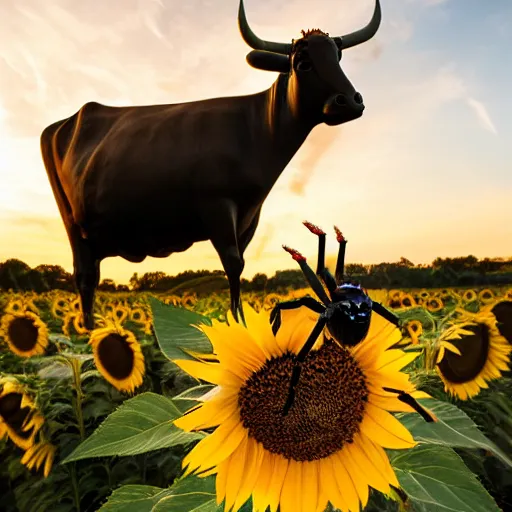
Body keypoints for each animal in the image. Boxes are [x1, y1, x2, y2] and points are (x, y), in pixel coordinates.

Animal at [40, 0, 382, 330]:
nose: (349, 101)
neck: (256, 127)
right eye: (302, 62)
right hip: (72, 223)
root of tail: (63, 123)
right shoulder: (217, 204)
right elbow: (233, 263)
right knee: (85, 276)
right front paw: (238, 323)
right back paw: (87, 331)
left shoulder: (249, 215)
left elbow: (240, 263)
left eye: (338, 56)